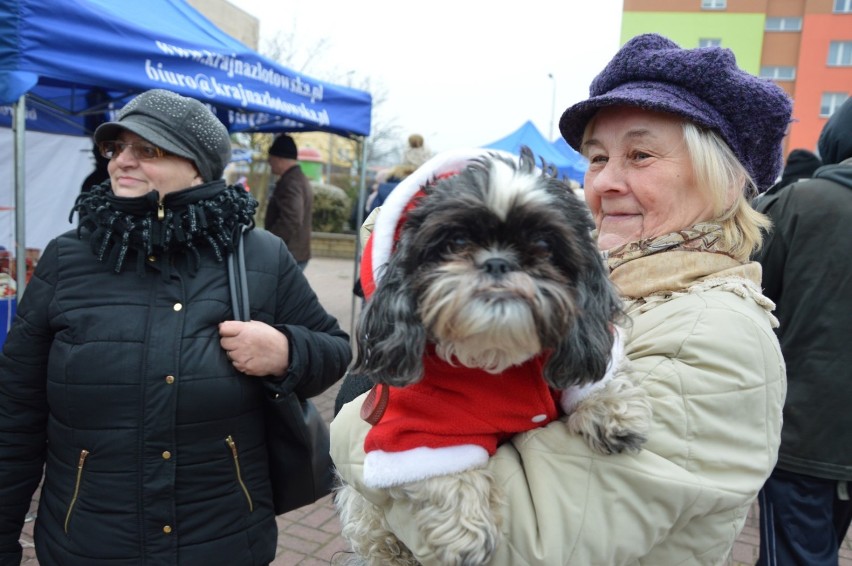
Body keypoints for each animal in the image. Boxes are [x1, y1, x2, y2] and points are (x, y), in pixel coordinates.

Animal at [332, 148, 652, 566]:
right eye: (457, 240)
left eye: (544, 244)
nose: (498, 262)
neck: (495, 356)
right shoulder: (415, 427)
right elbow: (442, 471)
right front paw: (465, 533)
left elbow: (597, 378)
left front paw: (611, 410)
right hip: (364, 511)